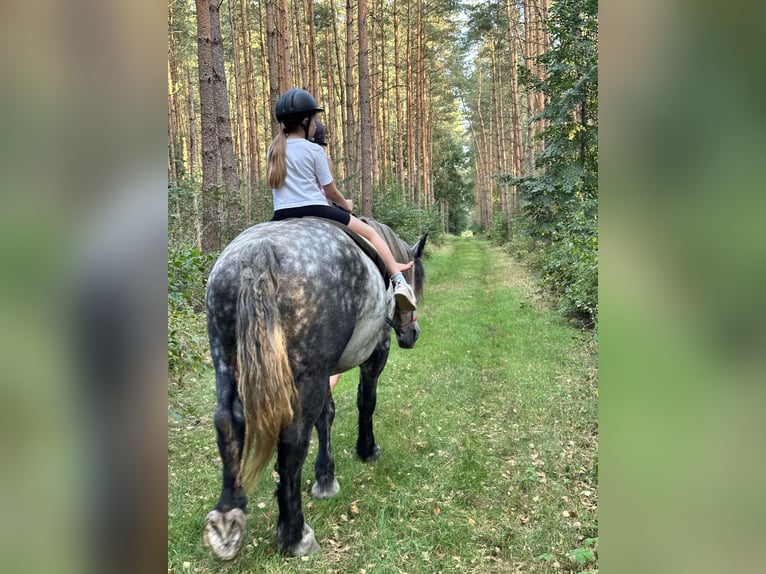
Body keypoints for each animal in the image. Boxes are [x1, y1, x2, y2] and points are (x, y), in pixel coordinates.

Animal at [201, 216, 427, 560]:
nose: (411, 333)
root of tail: (257, 255)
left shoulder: (325, 372)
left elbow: (327, 415)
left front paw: (325, 478)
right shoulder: (375, 353)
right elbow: (365, 402)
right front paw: (366, 449)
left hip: (227, 363)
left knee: (228, 422)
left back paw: (228, 520)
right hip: (307, 373)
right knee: (294, 438)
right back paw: (294, 534)